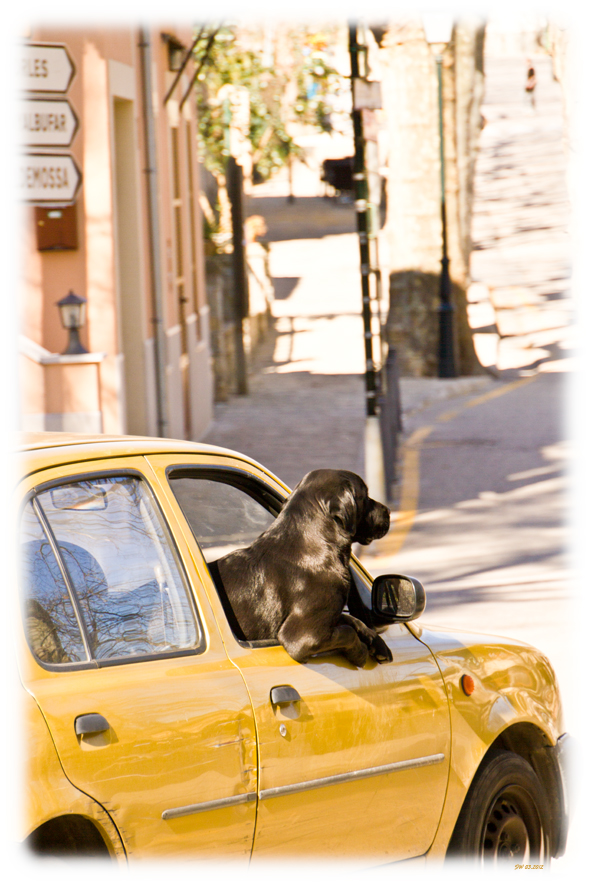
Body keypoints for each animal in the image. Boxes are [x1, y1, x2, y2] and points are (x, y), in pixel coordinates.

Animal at [216, 472, 394, 664]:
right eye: (365, 495)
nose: (389, 511)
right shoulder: (302, 637)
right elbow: (347, 632)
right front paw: (360, 653)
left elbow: (350, 619)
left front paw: (377, 643)